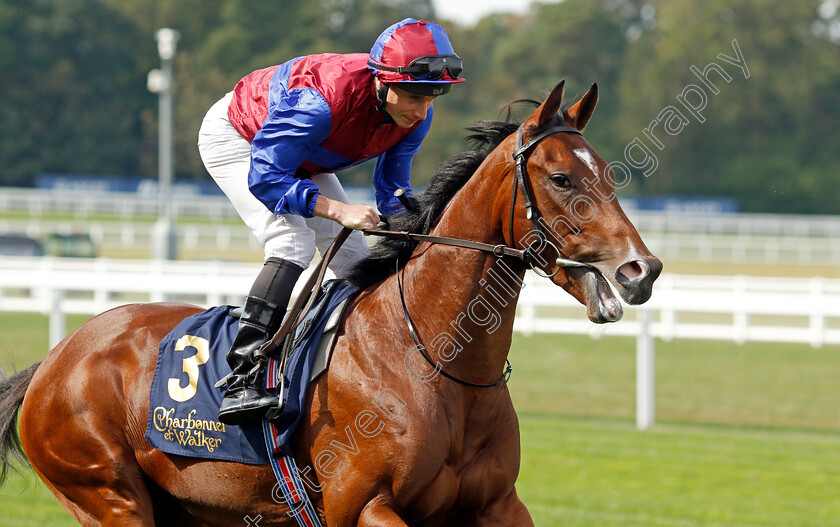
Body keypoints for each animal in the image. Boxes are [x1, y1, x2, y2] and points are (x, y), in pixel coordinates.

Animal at [0, 80, 664, 524]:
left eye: (608, 174)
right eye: (561, 179)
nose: (641, 270)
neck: (434, 363)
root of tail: (54, 360)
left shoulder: (498, 504)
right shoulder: (362, 505)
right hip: (109, 495)